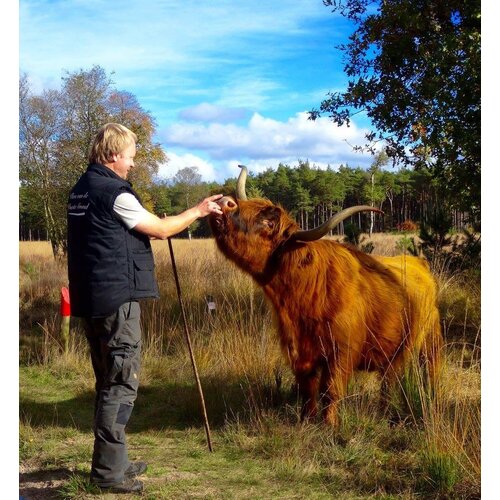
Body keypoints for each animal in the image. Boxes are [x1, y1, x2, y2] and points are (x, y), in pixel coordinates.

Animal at [209, 166, 444, 424]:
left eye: (269, 222)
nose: (225, 202)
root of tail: (418, 262)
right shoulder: (300, 351)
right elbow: (308, 388)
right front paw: (306, 419)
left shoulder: (341, 351)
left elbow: (330, 389)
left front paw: (330, 424)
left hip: (426, 340)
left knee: (414, 374)